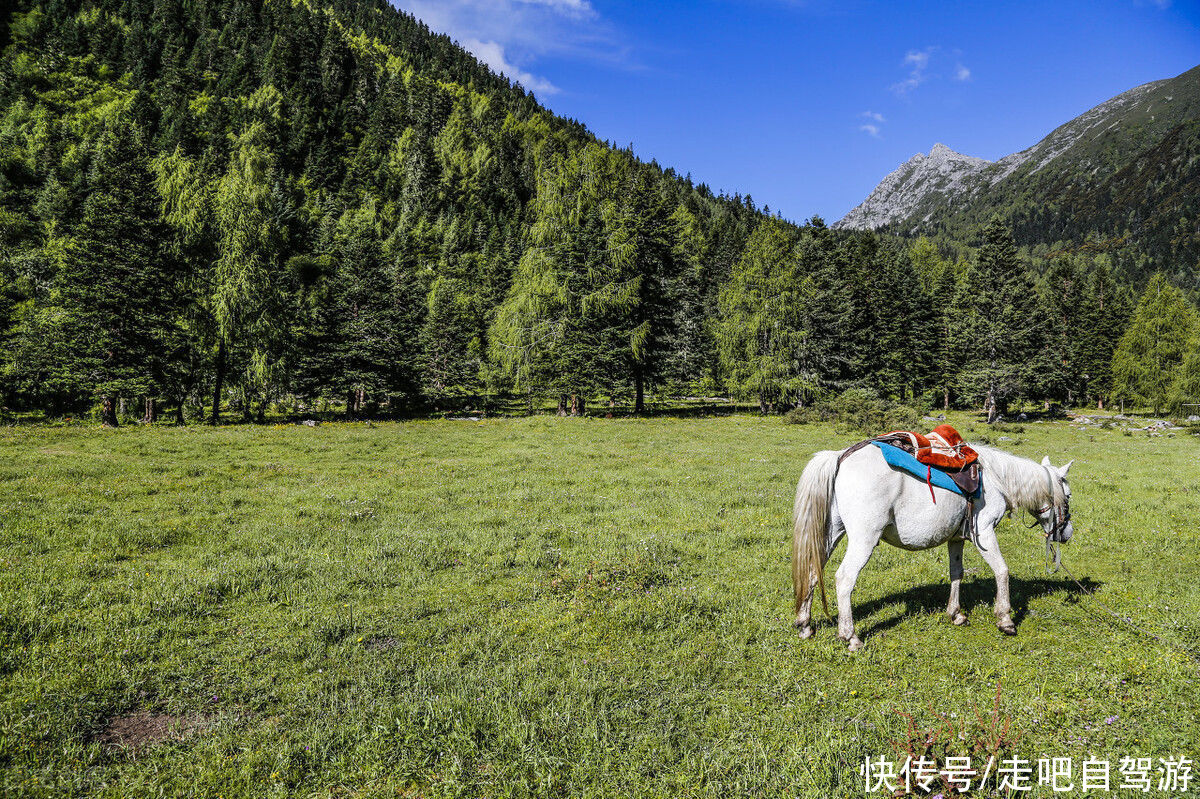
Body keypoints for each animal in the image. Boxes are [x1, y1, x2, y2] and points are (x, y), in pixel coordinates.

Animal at [792, 441, 1075, 647]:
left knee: (813, 572)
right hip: (864, 539)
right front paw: (1005, 619)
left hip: (832, 534)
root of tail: (841, 457)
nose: (1066, 533)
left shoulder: (956, 539)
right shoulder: (984, 533)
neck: (997, 480)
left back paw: (805, 625)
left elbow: (956, 573)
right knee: (844, 579)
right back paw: (850, 637)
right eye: (1069, 495)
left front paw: (956, 614)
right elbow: (1002, 571)